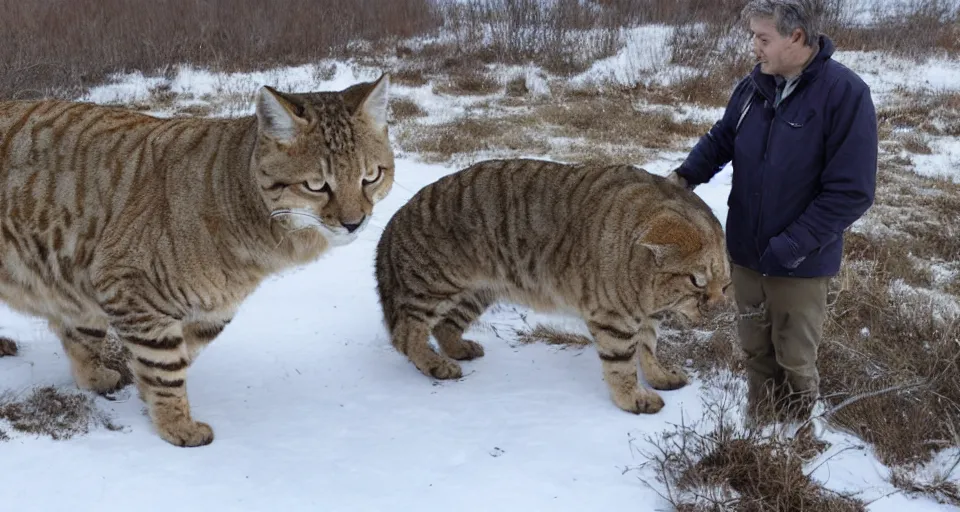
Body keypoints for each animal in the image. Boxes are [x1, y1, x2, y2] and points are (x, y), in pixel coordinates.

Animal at [0, 74, 394, 446]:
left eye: (371, 176)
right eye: (316, 185)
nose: (354, 222)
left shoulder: (207, 309)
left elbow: (100, 340)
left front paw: (104, 382)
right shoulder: (127, 286)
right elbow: (164, 367)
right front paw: (177, 424)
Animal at [376, 160, 728, 416]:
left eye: (725, 285)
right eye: (697, 281)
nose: (716, 311)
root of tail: (395, 218)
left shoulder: (645, 314)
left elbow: (648, 347)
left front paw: (657, 377)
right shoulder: (613, 317)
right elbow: (621, 363)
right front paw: (632, 398)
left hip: (479, 290)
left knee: (445, 326)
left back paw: (458, 348)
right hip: (432, 284)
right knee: (406, 334)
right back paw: (434, 364)